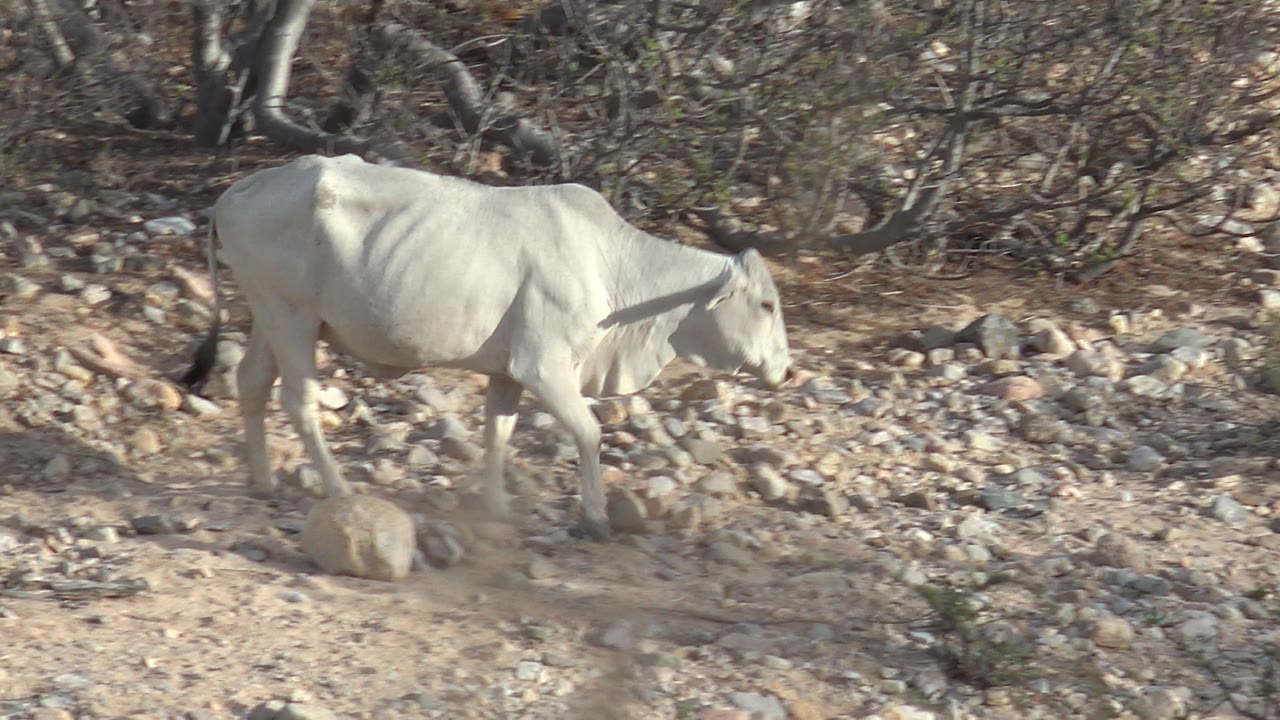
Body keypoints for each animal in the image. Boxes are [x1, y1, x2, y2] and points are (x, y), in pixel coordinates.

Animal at [181, 154, 793, 540]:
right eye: (766, 305)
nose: (784, 372)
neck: (617, 274)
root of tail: (235, 192)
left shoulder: (508, 371)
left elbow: (499, 430)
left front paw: (496, 505)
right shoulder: (544, 365)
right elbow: (589, 432)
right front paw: (594, 518)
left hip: (272, 317)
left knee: (253, 384)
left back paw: (263, 481)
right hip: (292, 317)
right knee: (299, 401)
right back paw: (336, 487)